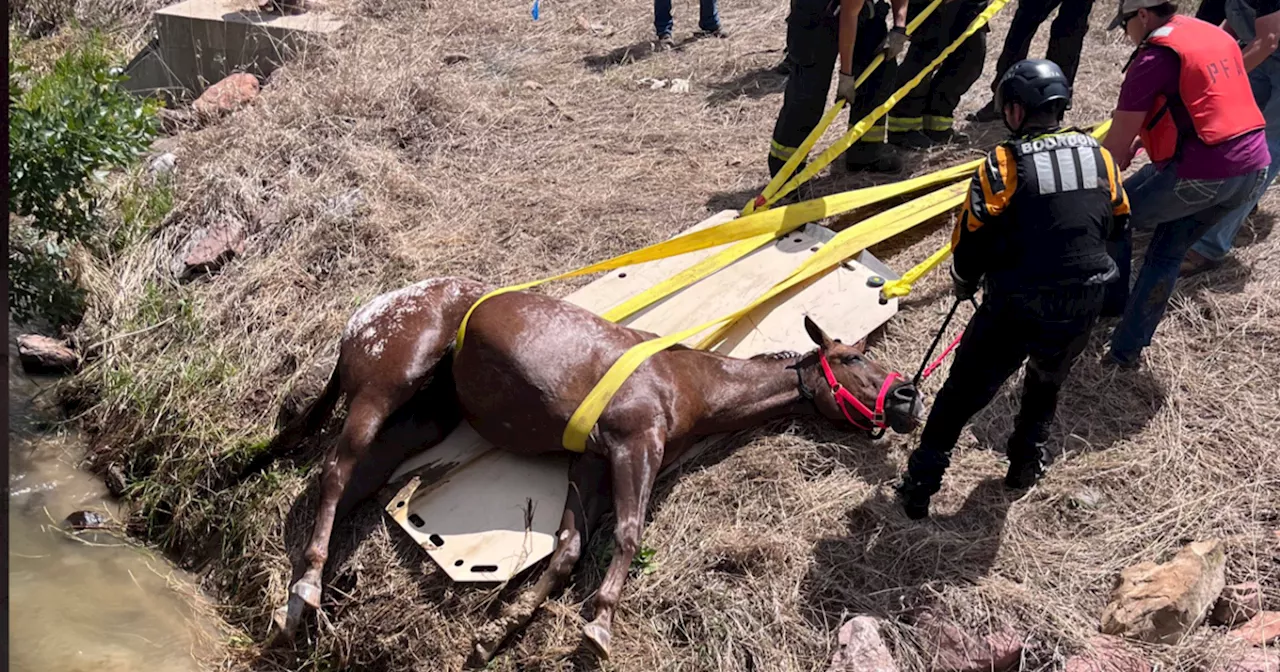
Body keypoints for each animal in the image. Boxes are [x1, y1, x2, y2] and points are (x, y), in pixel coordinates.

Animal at [247, 273, 931, 660]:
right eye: (852, 356)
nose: (908, 397)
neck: (685, 379)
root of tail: (366, 318)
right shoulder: (635, 445)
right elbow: (626, 535)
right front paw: (599, 623)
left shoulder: (592, 463)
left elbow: (570, 548)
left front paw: (502, 631)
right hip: (382, 390)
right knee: (336, 473)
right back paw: (304, 590)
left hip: (423, 417)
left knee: (354, 486)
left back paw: (311, 588)